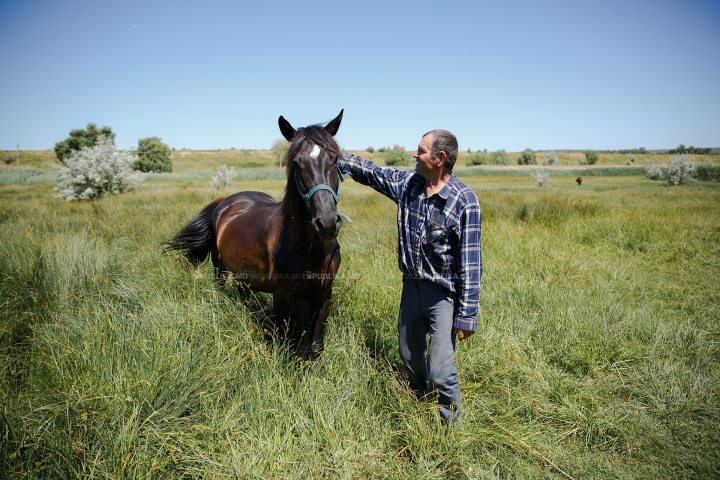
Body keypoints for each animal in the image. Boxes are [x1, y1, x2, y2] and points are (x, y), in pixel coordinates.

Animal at [169, 110, 348, 354]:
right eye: (296, 164)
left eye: (335, 160)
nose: (327, 223)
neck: (311, 249)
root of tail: (224, 202)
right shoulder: (282, 297)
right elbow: (283, 343)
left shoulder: (324, 295)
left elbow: (316, 347)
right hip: (219, 267)